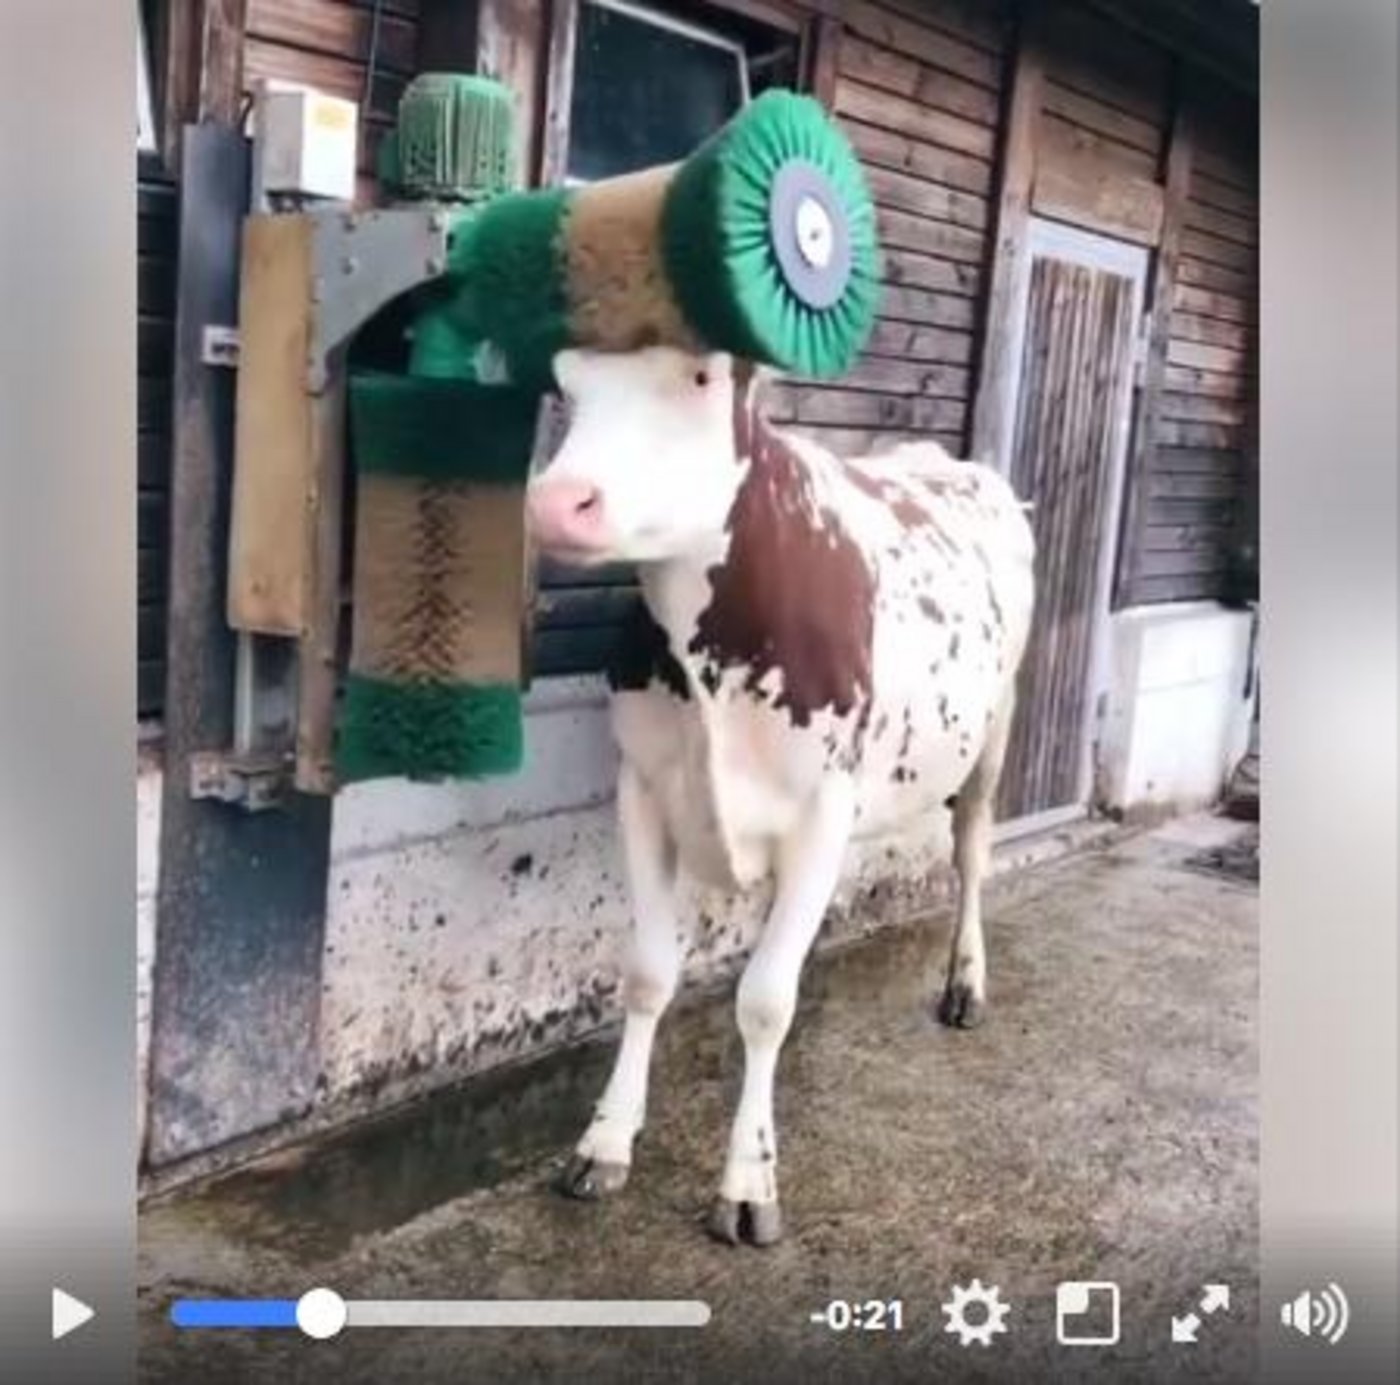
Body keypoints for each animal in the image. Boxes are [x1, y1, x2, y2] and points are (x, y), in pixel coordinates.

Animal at [524, 346, 1036, 1246]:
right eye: (568, 384)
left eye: (700, 377)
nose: (557, 501)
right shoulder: (642, 787)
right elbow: (649, 975)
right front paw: (604, 1142)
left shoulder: (824, 811)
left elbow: (764, 1001)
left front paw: (748, 1181)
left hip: (994, 727)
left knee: (972, 854)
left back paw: (966, 985)